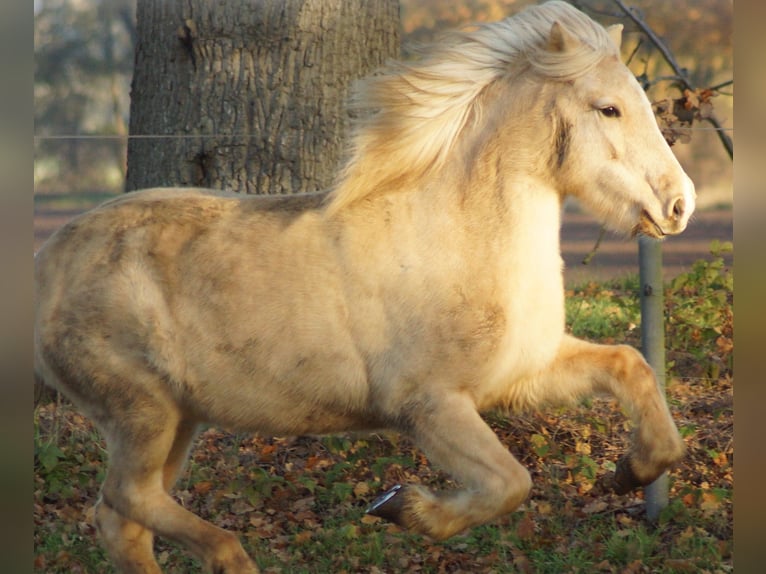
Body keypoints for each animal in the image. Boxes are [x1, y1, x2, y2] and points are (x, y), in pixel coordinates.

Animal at [34, 2, 695, 572]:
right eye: (607, 109)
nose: (679, 205)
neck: (452, 239)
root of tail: (48, 259)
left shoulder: (521, 376)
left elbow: (630, 364)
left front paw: (632, 472)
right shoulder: (429, 407)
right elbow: (510, 483)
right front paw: (402, 507)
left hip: (180, 420)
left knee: (122, 518)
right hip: (141, 411)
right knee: (127, 498)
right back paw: (232, 556)